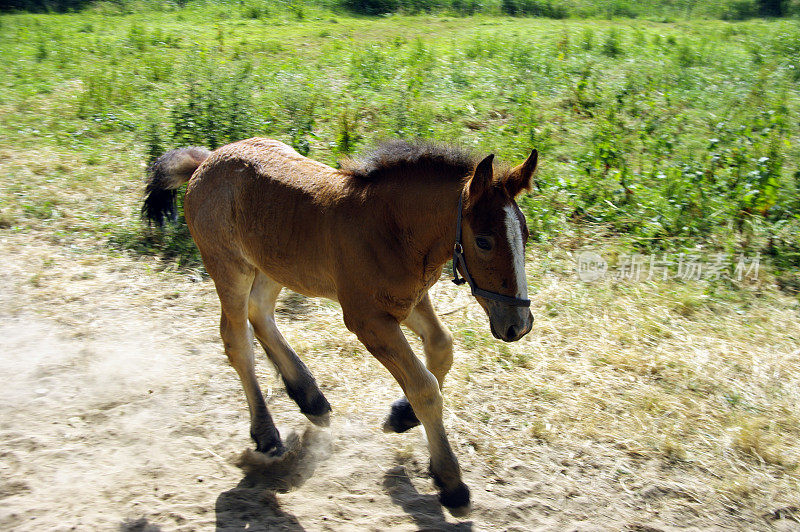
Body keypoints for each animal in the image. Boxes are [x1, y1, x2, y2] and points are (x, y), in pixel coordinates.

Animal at [144, 137, 536, 516]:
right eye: (484, 241)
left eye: (526, 234)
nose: (518, 324)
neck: (392, 228)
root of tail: (206, 161)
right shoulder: (367, 318)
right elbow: (423, 387)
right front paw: (451, 483)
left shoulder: (407, 301)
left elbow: (442, 346)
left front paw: (401, 416)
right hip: (228, 267)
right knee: (237, 339)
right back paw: (267, 435)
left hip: (276, 265)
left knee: (260, 312)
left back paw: (310, 397)